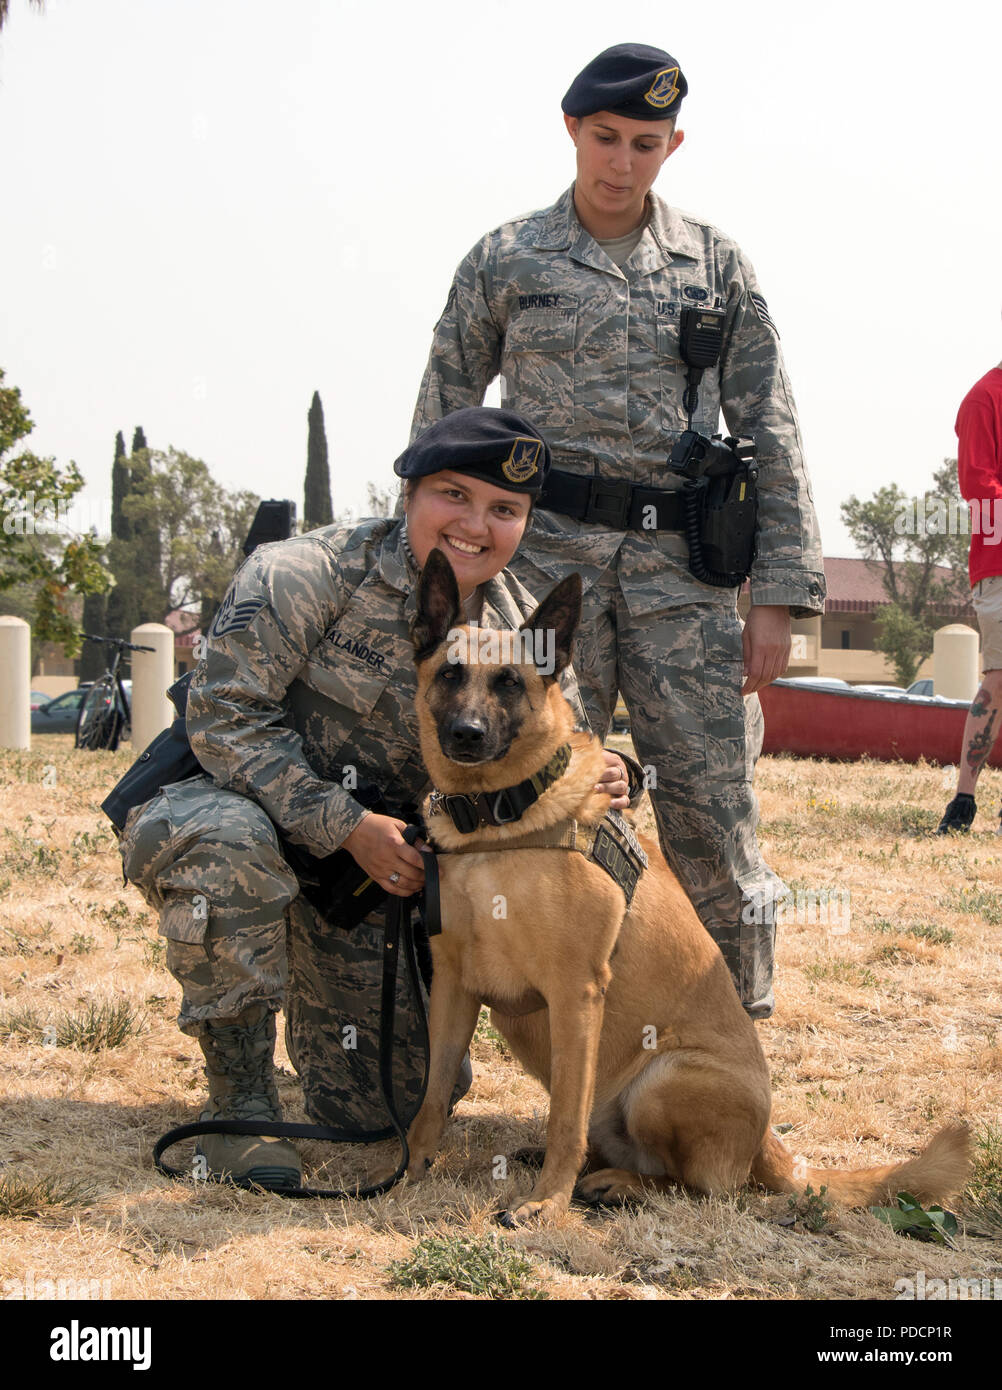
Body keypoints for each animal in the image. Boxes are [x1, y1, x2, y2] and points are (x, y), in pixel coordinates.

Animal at [405, 547, 967, 1223]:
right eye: (450, 673)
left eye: (509, 682)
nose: (465, 734)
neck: (497, 820)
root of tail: (772, 1144)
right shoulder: (453, 988)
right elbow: (432, 1095)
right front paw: (406, 1171)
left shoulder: (575, 995)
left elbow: (564, 1117)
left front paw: (545, 1205)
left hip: (662, 1079)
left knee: (701, 1187)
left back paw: (614, 1184)